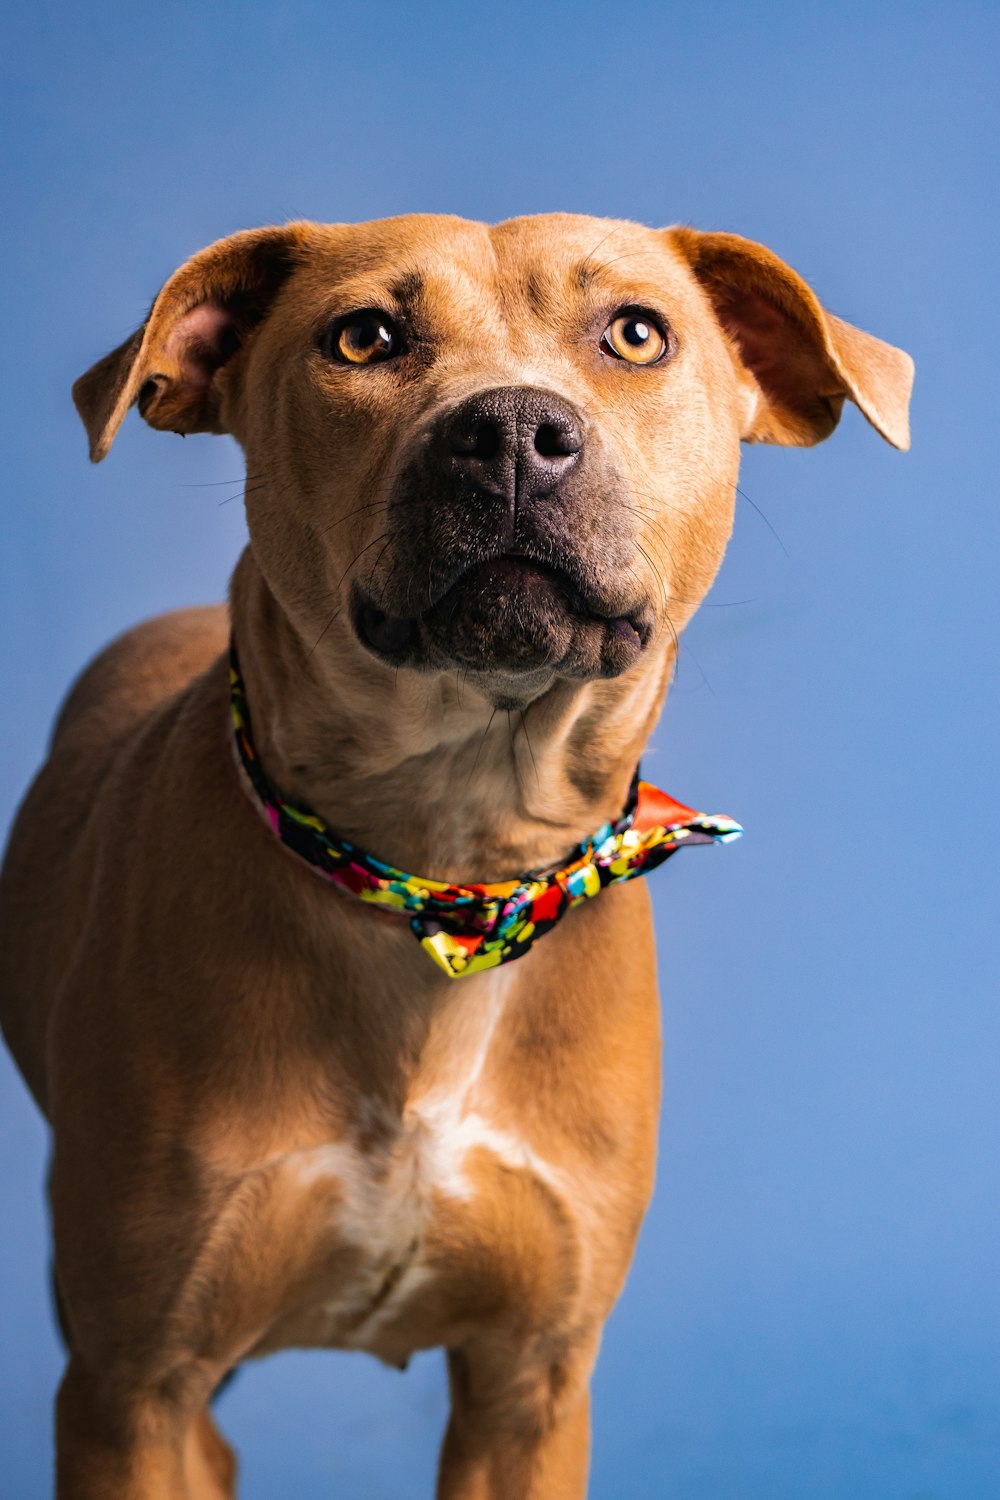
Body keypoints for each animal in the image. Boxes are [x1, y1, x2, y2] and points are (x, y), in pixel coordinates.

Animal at [0, 214, 911, 1500]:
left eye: (637, 333)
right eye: (362, 338)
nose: (512, 432)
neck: (453, 859)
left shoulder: (529, 1383)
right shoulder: (130, 1387)